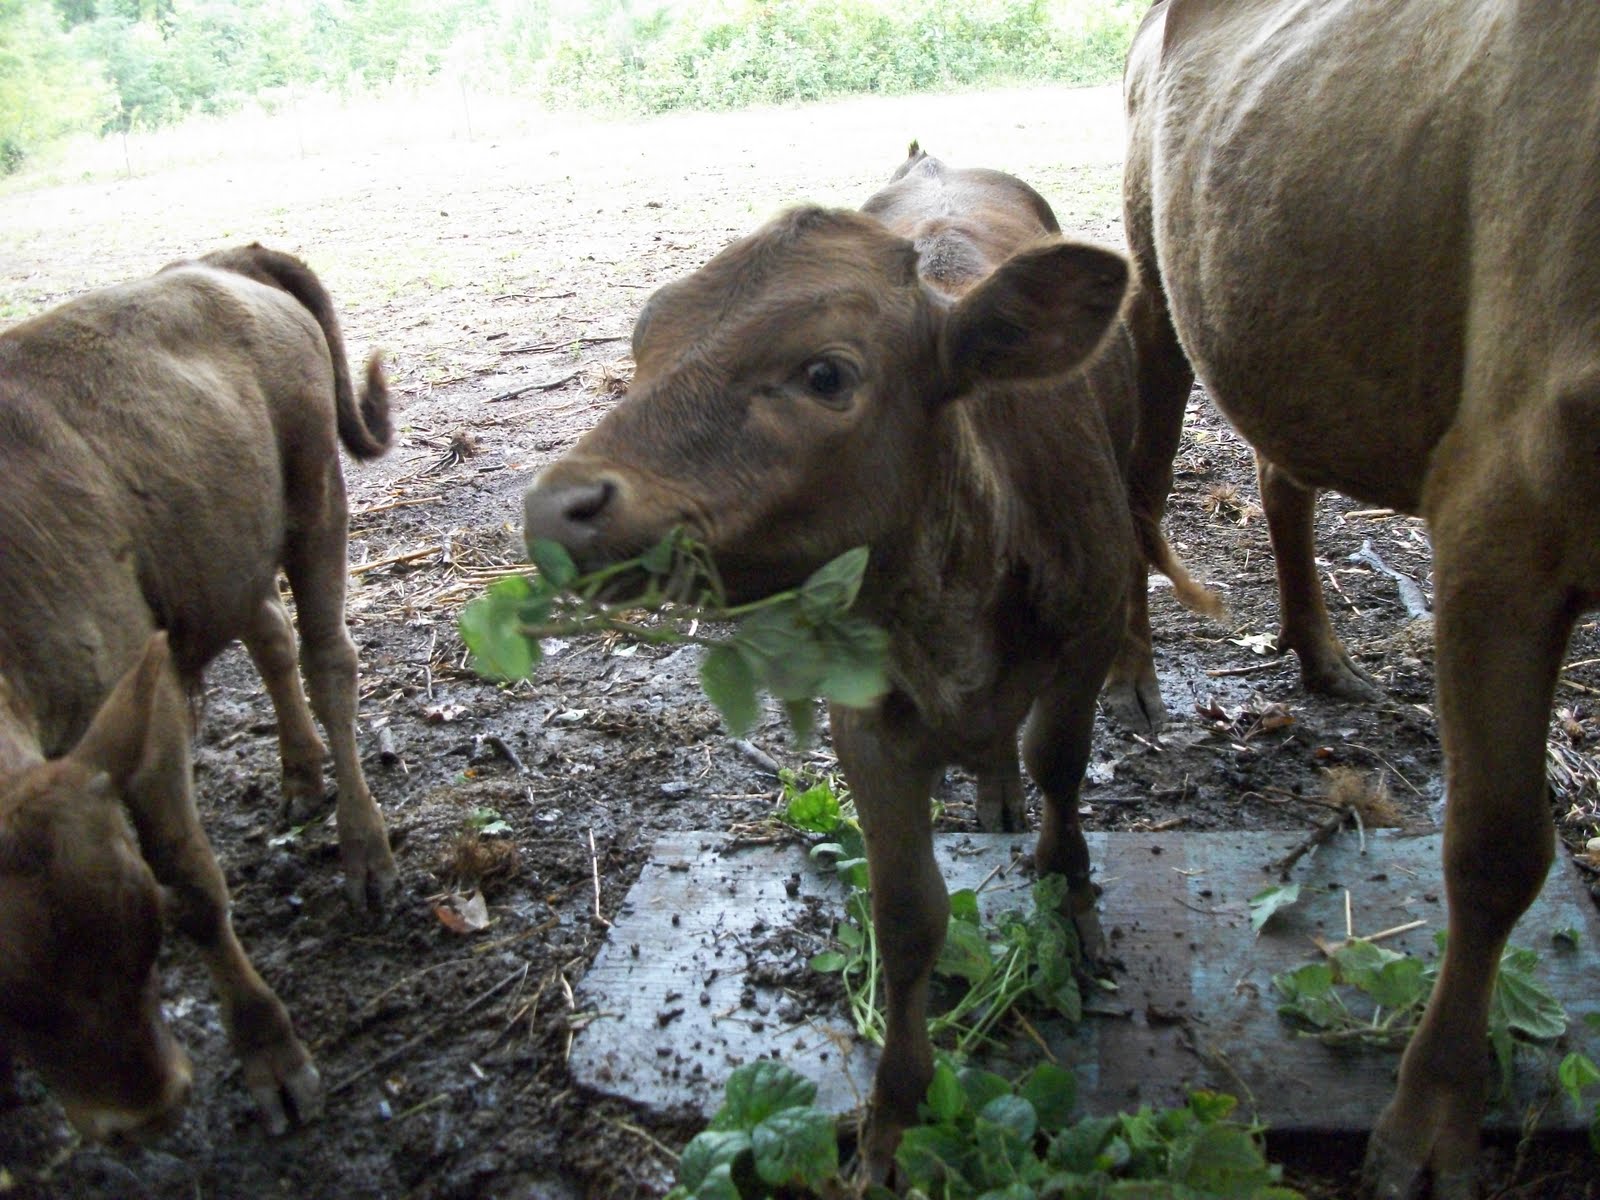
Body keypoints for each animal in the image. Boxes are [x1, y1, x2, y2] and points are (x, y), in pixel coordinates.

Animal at [0, 245, 397, 1141]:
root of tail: (225, 260)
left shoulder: (132, 731)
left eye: (138, 920)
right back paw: (299, 776)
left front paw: (273, 1063)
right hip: (225, 557)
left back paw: (366, 853)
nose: (141, 1113)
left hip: (316, 505)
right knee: (273, 639)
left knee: (328, 662)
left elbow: (195, 888)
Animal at [523, 146, 1211, 1175]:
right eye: (645, 340)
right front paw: (892, 1118)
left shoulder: (1080, 641)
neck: (948, 608)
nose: (554, 507)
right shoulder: (867, 727)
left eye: (824, 373)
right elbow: (908, 915)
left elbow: (1059, 764)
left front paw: (1072, 898)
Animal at [1121, 2, 1600, 1196]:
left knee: (1278, 469)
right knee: (1136, 481)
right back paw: (1133, 673)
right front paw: (1428, 1127)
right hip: (1150, 285)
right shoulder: (1495, 529)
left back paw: (1320, 652)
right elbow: (1494, 850)